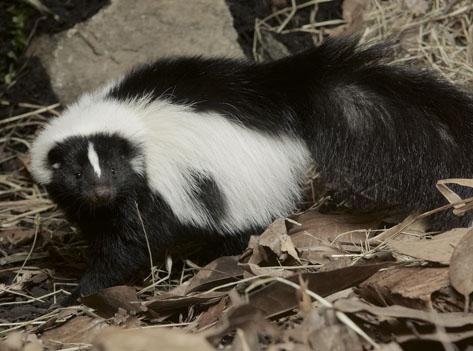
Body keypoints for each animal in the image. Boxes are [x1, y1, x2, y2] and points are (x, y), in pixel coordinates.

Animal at [29, 37, 472, 302]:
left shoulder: (150, 191)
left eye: (115, 171)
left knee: (244, 227)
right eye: (76, 176)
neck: (125, 119)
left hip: (243, 184)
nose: (101, 193)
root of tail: (280, 97)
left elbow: (128, 243)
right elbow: (103, 229)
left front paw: (83, 287)